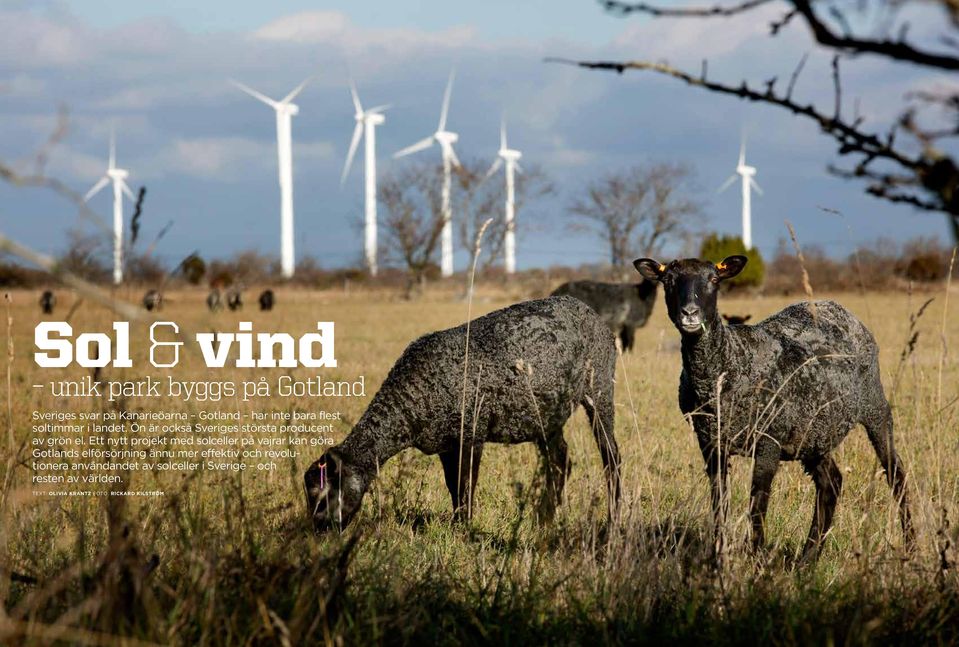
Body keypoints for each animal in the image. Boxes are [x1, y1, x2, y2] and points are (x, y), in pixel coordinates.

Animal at [304, 298, 628, 532]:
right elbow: (453, 487)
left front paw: (464, 529)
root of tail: (591, 313)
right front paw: (458, 522)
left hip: (599, 390)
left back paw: (613, 516)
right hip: (546, 416)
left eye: (323, 495)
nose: (318, 530)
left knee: (610, 455)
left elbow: (465, 486)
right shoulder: (446, 445)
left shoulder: (471, 435)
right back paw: (545, 517)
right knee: (561, 460)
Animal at [636, 256, 916, 564]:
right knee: (831, 483)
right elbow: (719, 503)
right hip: (813, 433)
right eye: (669, 281)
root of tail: (839, 307)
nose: (690, 313)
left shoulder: (768, 441)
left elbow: (757, 504)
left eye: (714, 280)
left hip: (875, 406)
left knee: (896, 474)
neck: (728, 364)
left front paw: (757, 561)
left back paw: (911, 544)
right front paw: (719, 559)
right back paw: (807, 559)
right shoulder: (711, 441)